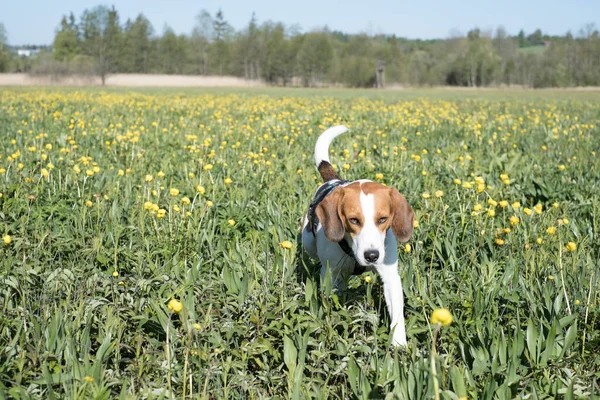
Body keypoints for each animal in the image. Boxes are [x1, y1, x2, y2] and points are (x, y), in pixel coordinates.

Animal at [302, 126, 414, 346]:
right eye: (353, 220)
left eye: (383, 219)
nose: (371, 256)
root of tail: (334, 180)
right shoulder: (330, 275)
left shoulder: (390, 277)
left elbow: (397, 314)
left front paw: (399, 344)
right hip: (307, 242)